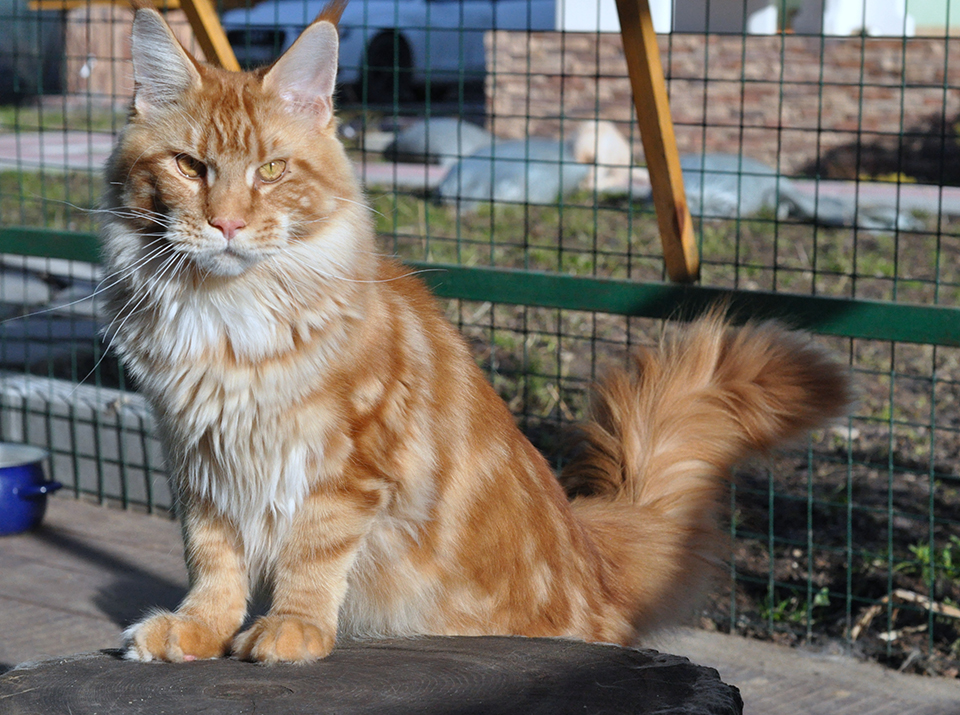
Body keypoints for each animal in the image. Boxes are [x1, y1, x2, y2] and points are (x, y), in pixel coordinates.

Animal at [103, 0, 848, 664]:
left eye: (272, 171)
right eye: (190, 167)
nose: (226, 223)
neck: (227, 316)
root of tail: (591, 551)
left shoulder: (344, 467)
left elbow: (310, 557)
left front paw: (293, 628)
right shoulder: (200, 460)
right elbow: (213, 562)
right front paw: (198, 630)